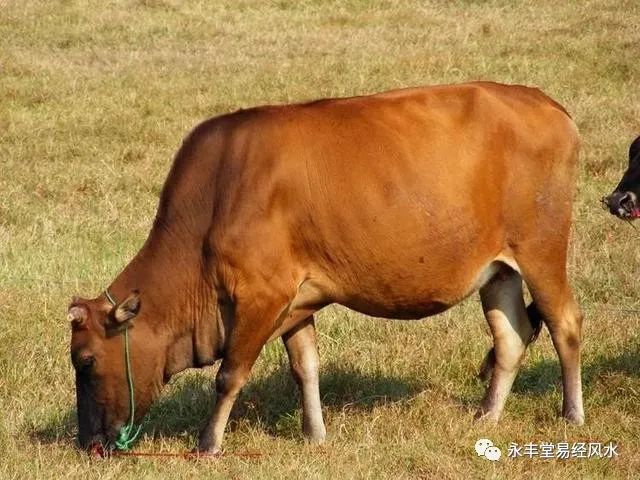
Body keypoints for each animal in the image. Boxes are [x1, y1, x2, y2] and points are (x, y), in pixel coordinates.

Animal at [69, 82, 584, 454]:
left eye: (86, 360)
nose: (87, 442)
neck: (215, 199)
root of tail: (546, 103)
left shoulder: (262, 295)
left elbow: (229, 374)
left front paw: (207, 444)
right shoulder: (297, 300)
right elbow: (306, 368)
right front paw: (315, 434)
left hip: (541, 250)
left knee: (565, 324)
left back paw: (572, 414)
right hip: (498, 270)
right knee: (512, 336)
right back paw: (487, 416)